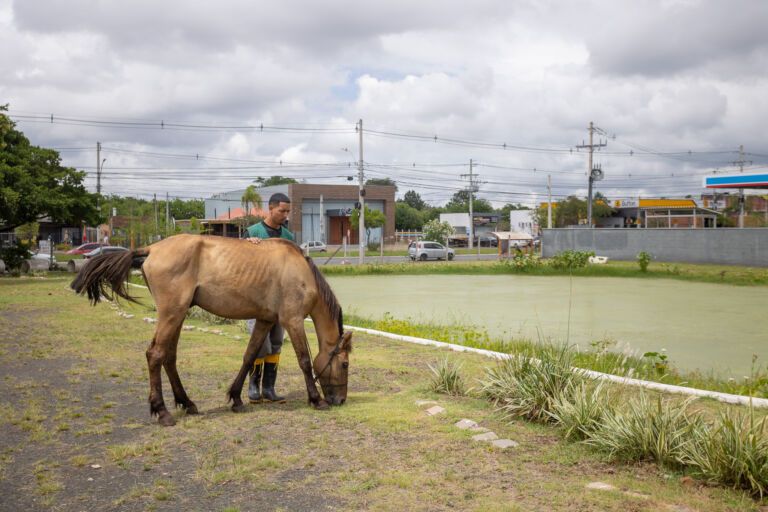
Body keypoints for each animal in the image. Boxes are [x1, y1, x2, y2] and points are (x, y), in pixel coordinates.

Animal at [71, 234, 352, 426]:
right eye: (345, 364)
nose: (341, 400)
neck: (301, 270)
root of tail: (151, 249)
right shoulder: (292, 321)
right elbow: (304, 360)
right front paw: (316, 399)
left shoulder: (264, 320)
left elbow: (250, 356)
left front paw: (236, 398)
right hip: (171, 314)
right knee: (155, 355)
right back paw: (162, 411)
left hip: (178, 316)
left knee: (169, 356)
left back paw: (186, 402)